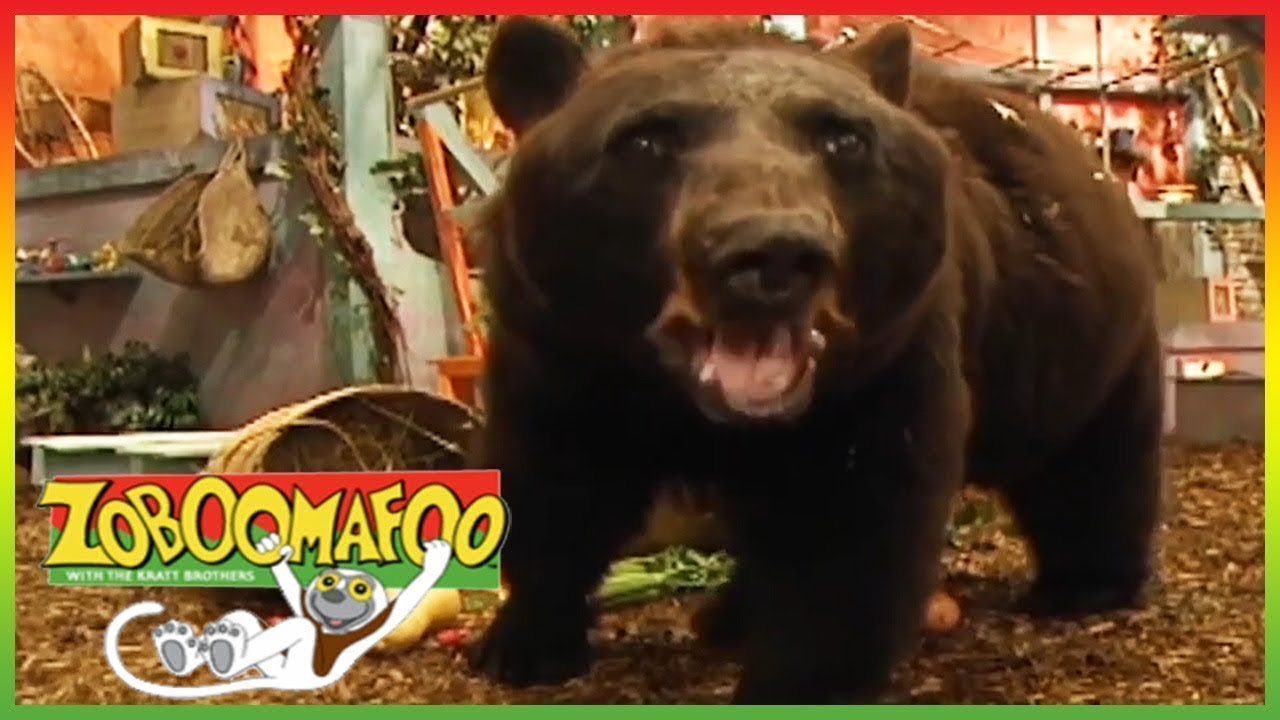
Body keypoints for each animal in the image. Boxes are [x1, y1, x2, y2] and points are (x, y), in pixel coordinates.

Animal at [465, 17, 1163, 704]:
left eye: (842, 138)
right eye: (644, 141)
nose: (773, 250)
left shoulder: (884, 364)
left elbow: (844, 526)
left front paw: (793, 680)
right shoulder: (564, 354)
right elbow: (556, 483)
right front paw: (523, 642)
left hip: (1084, 342)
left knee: (1090, 463)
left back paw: (1083, 583)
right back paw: (728, 614)